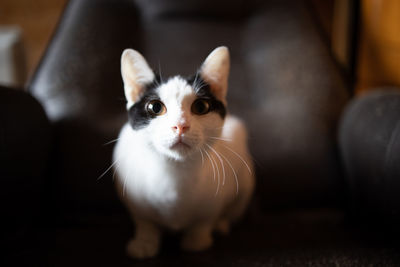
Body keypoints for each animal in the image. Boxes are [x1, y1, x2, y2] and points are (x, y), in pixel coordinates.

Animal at [111, 46, 256, 260]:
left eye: (201, 107)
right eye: (155, 107)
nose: (180, 125)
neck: (175, 173)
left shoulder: (215, 200)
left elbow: (204, 220)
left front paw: (197, 240)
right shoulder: (131, 197)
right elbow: (144, 220)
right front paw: (144, 242)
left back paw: (221, 224)